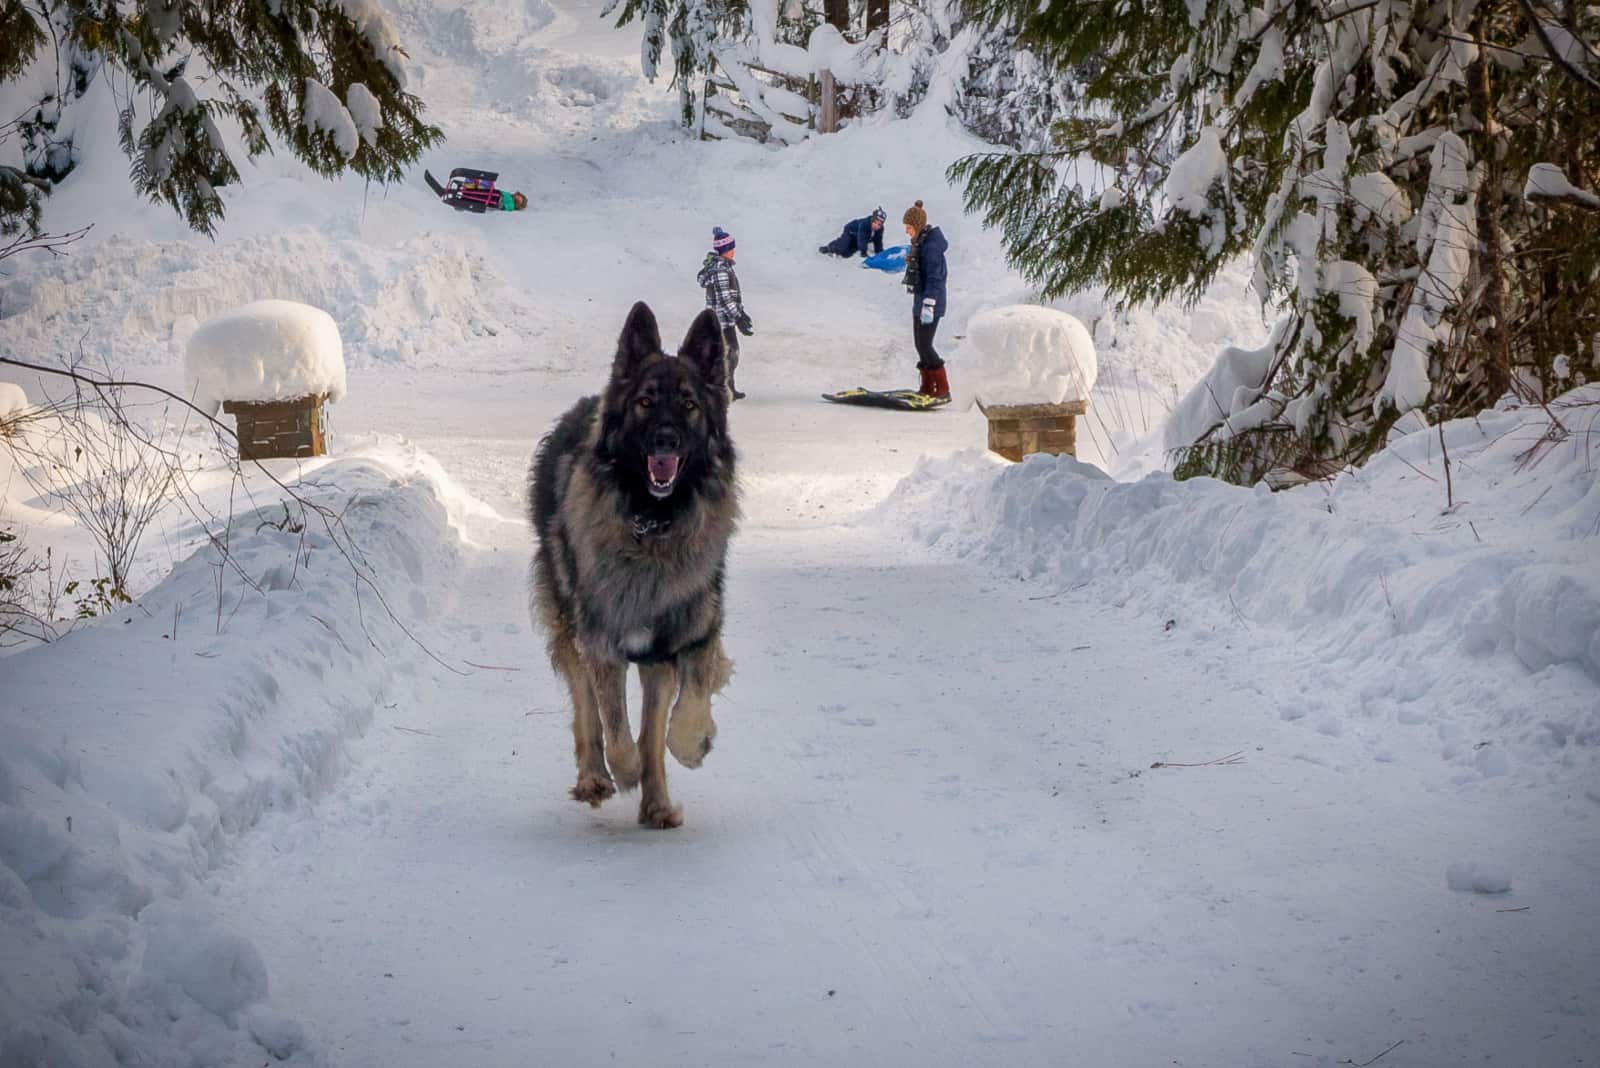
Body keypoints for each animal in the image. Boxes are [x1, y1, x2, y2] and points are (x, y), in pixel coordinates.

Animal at [534, 303, 739, 831]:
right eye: (646, 402)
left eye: (689, 405)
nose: (666, 440)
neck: (652, 523)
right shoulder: (603, 641)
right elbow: (620, 731)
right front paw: (623, 772)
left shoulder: (682, 638)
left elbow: (673, 724)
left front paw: (692, 747)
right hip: (570, 620)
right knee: (586, 706)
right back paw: (594, 777)